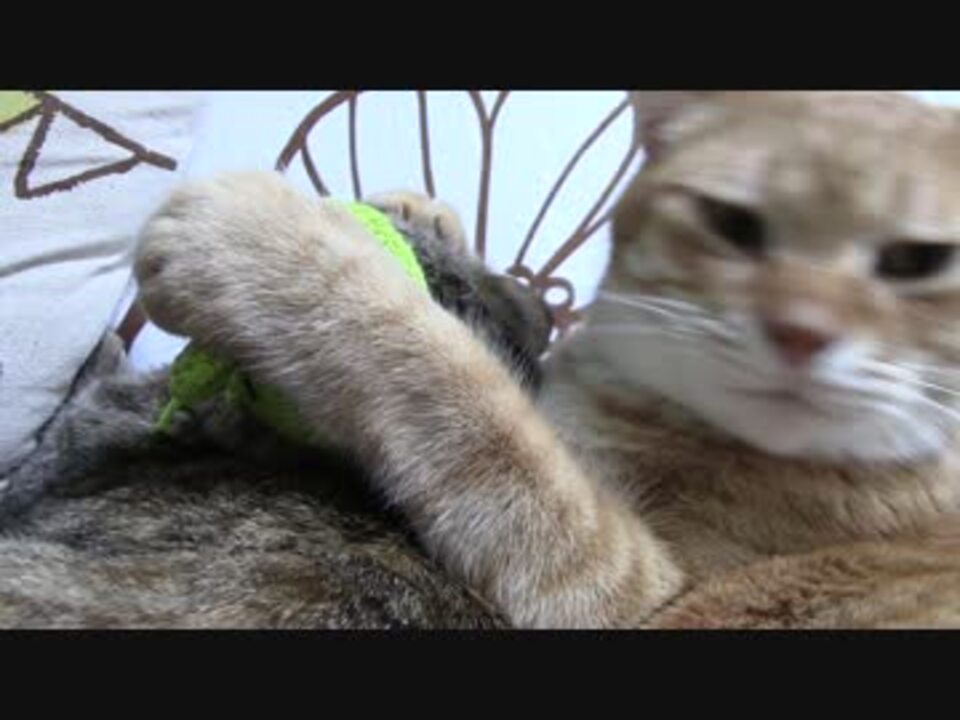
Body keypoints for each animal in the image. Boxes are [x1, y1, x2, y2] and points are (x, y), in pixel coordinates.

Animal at [127, 92, 960, 629]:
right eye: (732, 223)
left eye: (919, 262)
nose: (801, 332)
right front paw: (425, 213)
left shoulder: (649, 594)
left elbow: (473, 405)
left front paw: (261, 244)